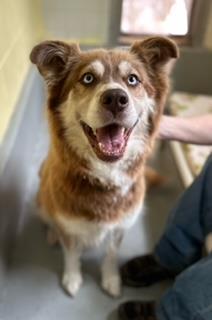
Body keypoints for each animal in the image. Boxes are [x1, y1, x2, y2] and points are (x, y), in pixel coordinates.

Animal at [30, 37, 179, 298]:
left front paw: (111, 279)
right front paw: (72, 278)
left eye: (133, 79)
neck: (105, 176)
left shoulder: (119, 227)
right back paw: (52, 233)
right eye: (88, 78)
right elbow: (71, 254)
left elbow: (110, 255)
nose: (116, 99)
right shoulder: (69, 227)